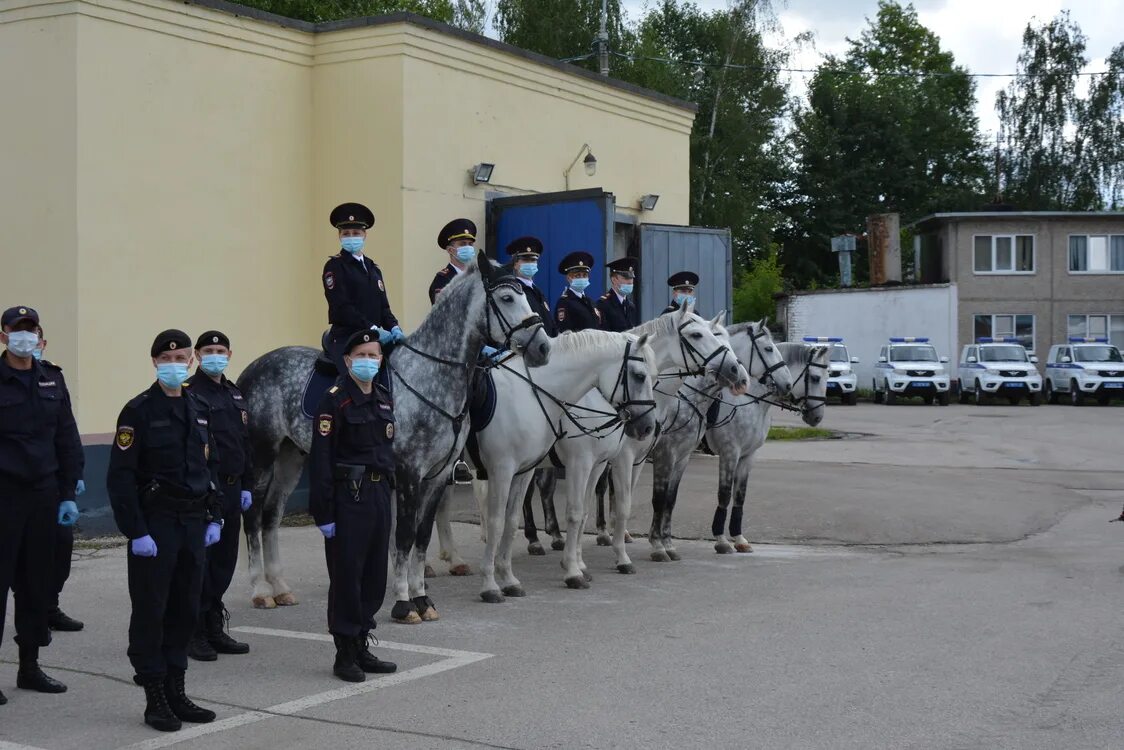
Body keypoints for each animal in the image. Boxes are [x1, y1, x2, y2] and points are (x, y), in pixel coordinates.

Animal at [239, 255, 550, 620]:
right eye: (507, 298)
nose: (543, 347)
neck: (431, 375)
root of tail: (253, 368)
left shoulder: (437, 475)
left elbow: (422, 535)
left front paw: (422, 597)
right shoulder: (408, 472)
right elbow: (403, 535)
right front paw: (403, 601)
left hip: (291, 458)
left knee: (272, 515)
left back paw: (280, 587)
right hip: (262, 455)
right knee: (253, 515)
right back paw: (260, 590)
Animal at [705, 337, 831, 555]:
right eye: (815, 378)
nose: (817, 417)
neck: (747, 399)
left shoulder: (748, 456)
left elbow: (740, 496)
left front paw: (740, 539)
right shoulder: (729, 453)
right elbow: (725, 494)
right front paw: (721, 541)